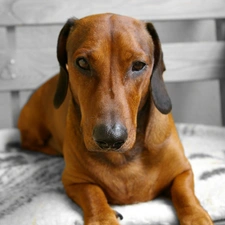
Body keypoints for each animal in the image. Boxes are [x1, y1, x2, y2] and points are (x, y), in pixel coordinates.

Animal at [17, 13, 213, 224]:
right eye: (82, 63)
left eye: (138, 65)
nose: (110, 138)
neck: (123, 158)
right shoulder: (74, 181)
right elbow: (92, 192)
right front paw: (104, 217)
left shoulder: (183, 171)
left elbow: (184, 191)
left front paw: (196, 216)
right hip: (33, 129)